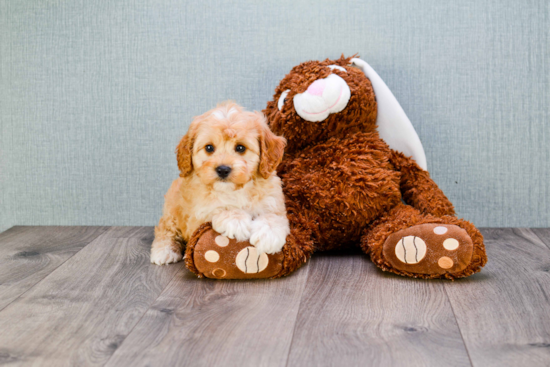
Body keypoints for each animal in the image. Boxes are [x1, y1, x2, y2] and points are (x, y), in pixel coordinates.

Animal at [151, 102, 288, 266]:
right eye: (209, 148)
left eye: (240, 148)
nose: (223, 169)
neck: (235, 190)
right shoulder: (196, 215)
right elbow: (216, 207)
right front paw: (236, 220)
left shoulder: (273, 202)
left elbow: (274, 217)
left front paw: (268, 234)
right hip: (171, 210)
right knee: (165, 229)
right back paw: (164, 251)